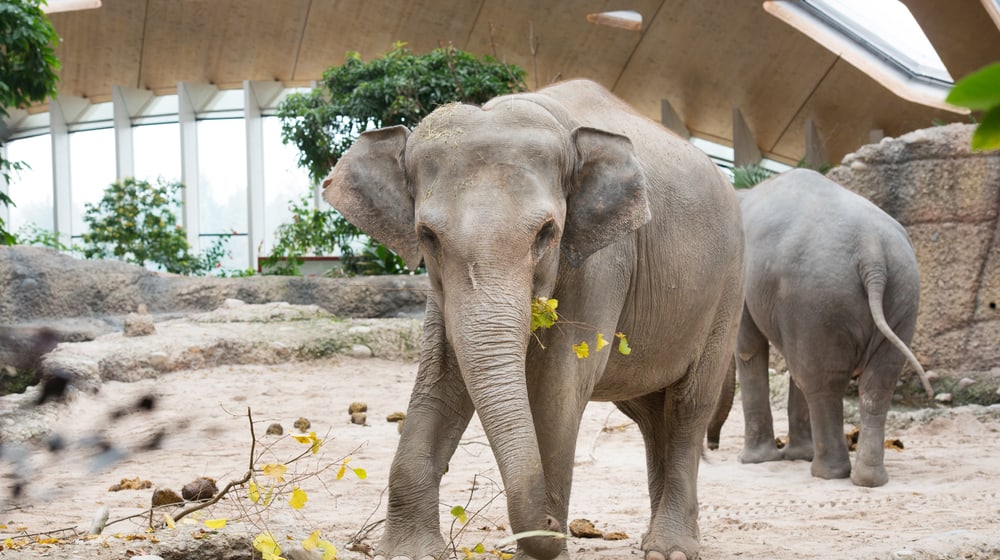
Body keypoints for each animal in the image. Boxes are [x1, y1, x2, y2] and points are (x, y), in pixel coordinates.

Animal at [321, 79, 745, 560]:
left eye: (547, 233)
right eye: (427, 237)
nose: (552, 522)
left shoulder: (604, 260)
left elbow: (559, 385)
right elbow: (442, 374)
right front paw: (410, 552)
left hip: (728, 290)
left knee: (689, 407)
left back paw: (669, 549)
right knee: (653, 416)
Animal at [708, 168, 932, 487]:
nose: (712, 446)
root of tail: (872, 252)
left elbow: (749, 349)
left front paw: (755, 460)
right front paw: (793, 456)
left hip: (820, 294)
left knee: (820, 380)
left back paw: (826, 473)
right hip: (898, 294)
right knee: (875, 381)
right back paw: (868, 479)